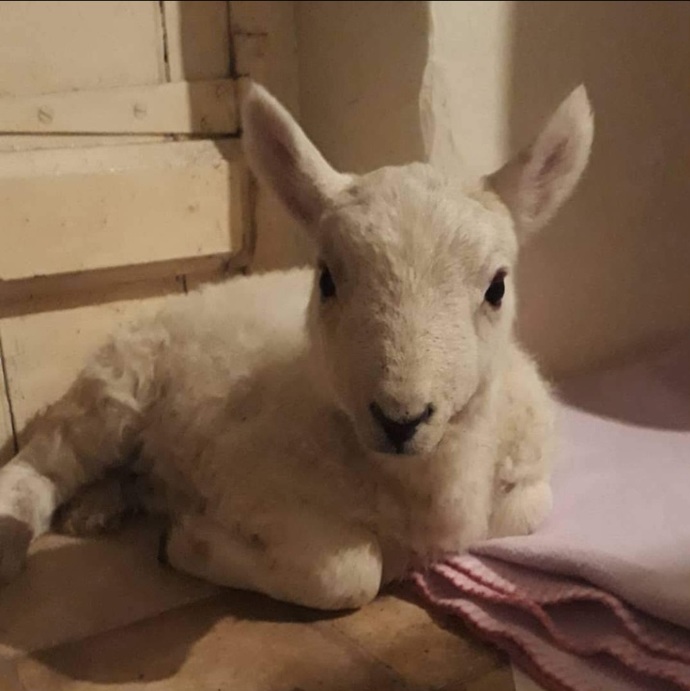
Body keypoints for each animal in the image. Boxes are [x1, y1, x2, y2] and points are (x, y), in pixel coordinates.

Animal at [0, 83, 593, 610]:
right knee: (42, 466)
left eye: (497, 287)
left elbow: (526, 511)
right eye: (326, 278)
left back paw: (99, 507)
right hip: (116, 388)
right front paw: (186, 543)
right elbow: (347, 573)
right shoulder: (247, 485)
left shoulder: (523, 479)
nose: (400, 418)